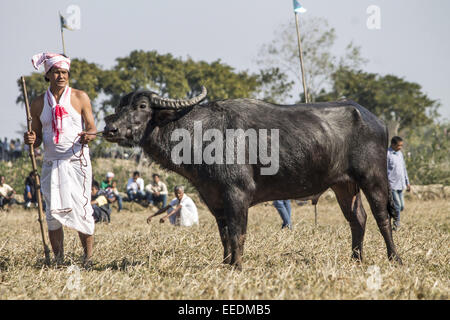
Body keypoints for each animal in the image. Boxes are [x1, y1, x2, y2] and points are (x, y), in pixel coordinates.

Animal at [103, 86, 402, 268]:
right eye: (120, 105)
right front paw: (225, 263)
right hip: (343, 184)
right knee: (357, 219)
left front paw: (237, 265)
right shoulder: (214, 198)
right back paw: (356, 259)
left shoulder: (237, 193)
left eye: (142, 105)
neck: (200, 135)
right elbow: (224, 234)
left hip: (373, 177)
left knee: (382, 217)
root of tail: (374, 120)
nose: (110, 128)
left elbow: (238, 233)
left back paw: (394, 257)